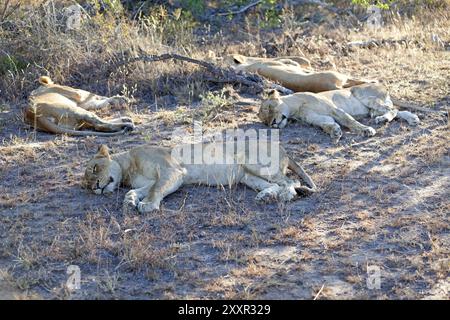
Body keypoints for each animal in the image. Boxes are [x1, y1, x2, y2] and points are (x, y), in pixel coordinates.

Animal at [84, 142, 316, 212]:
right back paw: (265, 196)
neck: (128, 168)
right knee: (275, 184)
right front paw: (130, 200)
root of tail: (283, 149)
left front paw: (147, 205)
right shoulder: (150, 181)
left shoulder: (172, 172)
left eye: (94, 168)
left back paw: (286, 196)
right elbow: (136, 190)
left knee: (291, 182)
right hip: (247, 176)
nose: (94, 187)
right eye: (85, 185)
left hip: (256, 163)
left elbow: (156, 190)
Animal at [258, 84, 420, 142]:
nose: (273, 124)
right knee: (398, 111)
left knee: (393, 110)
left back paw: (384, 119)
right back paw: (412, 119)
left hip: (366, 97)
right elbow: (326, 125)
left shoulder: (335, 109)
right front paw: (335, 131)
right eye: (265, 121)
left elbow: (350, 121)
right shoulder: (317, 119)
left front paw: (366, 130)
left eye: (270, 107)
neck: (295, 110)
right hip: (373, 108)